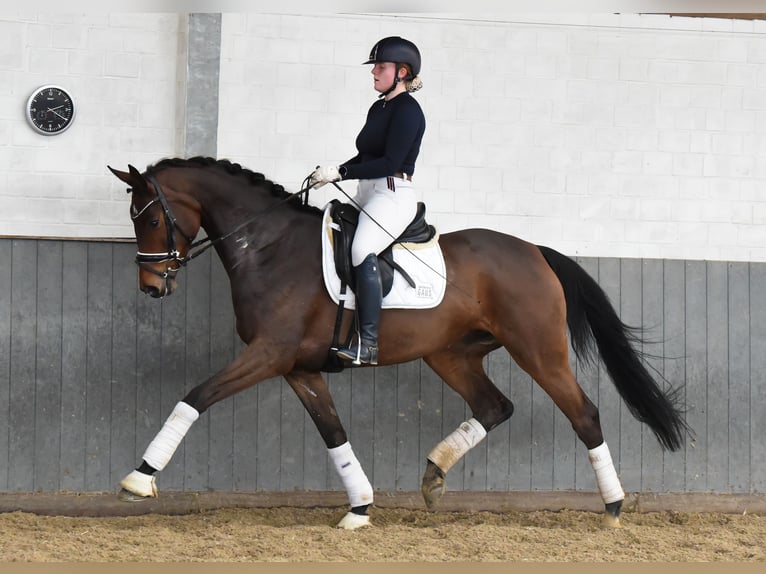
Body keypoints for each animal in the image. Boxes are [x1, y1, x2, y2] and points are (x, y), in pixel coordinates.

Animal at [108, 156, 688, 532]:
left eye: (152, 216)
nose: (152, 286)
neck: (269, 247)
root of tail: (534, 250)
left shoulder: (269, 354)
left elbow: (195, 396)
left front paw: (139, 479)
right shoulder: (300, 367)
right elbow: (333, 433)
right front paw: (359, 507)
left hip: (538, 351)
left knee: (583, 413)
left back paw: (613, 508)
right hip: (451, 353)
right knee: (494, 406)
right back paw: (433, 477)